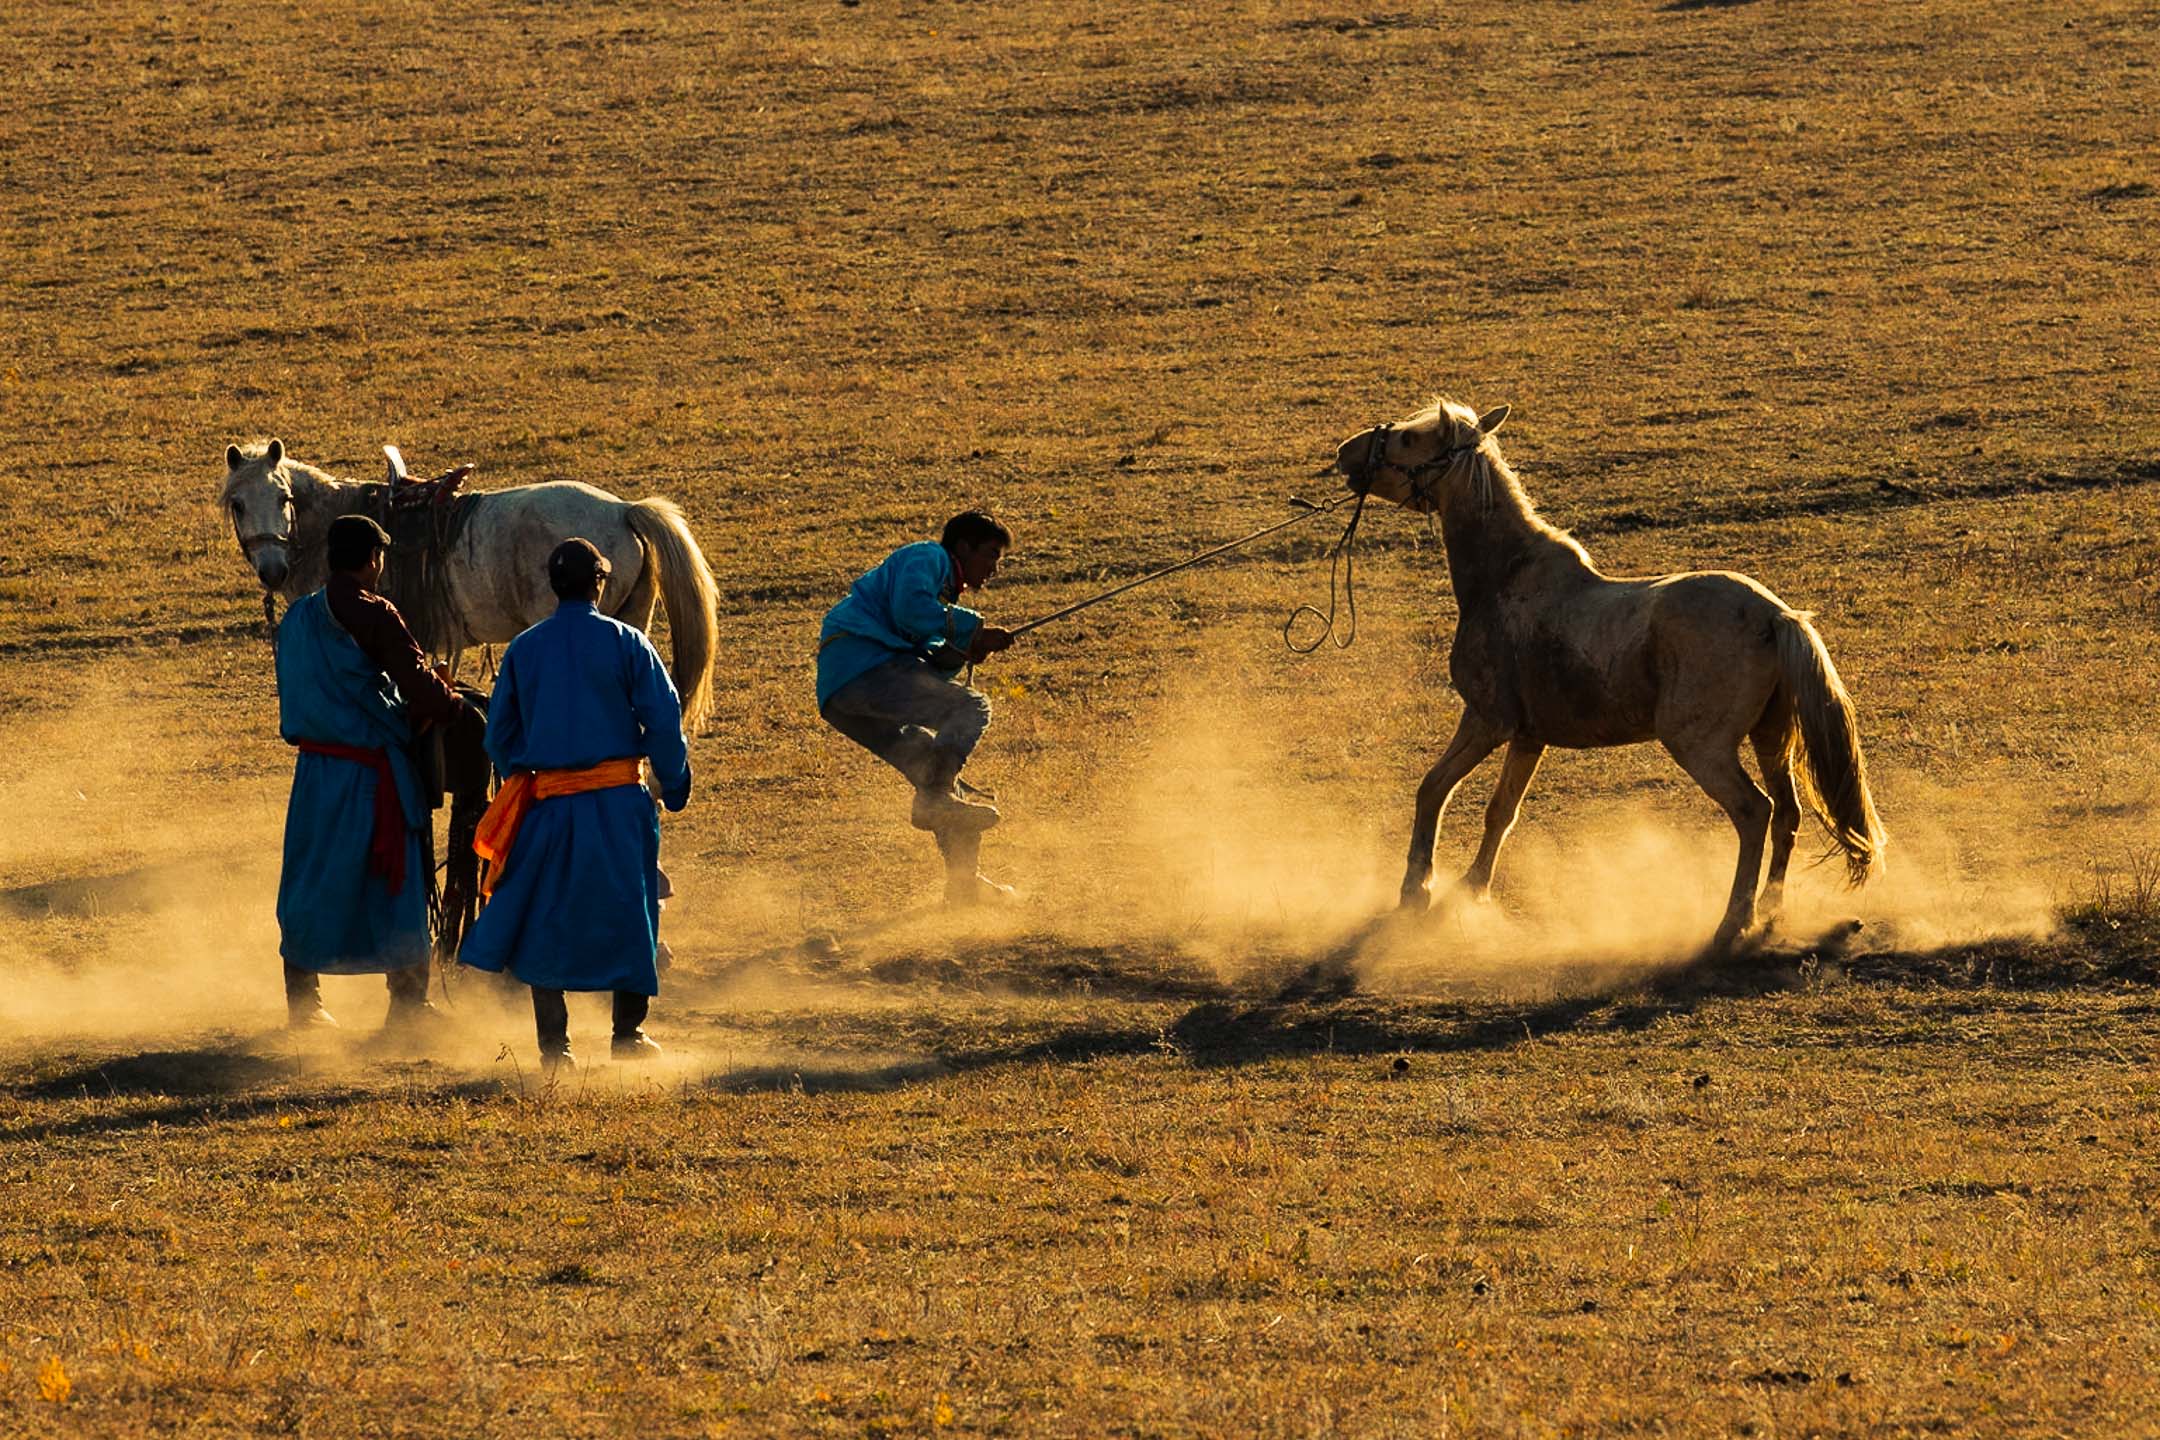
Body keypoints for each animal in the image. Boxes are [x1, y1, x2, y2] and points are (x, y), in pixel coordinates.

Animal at [224, 440, 721, 734]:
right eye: (238, 504)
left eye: (284, 497)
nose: (272, 570)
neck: (334, 526)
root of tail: (623, 510)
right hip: (631, 619)